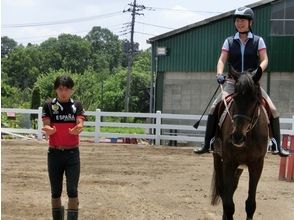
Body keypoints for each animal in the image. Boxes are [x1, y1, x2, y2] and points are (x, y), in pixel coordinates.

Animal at [210, 68, 270, 219]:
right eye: (235, 98)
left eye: (254, 99)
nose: (237, 137)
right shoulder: (229, 162)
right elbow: (228, 204)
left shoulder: (257, 164)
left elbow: (250, 204)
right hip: (218, 160)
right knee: (224, 192)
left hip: (239, 167)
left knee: (232, 188)